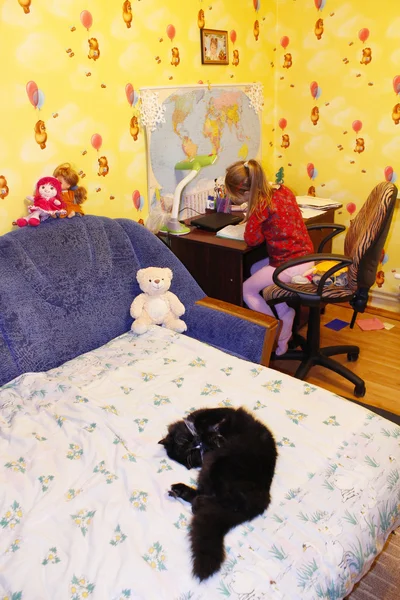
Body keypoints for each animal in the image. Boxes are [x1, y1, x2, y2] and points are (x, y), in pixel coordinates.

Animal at [158, 406, 276, 580]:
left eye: (183, 441)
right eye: (190, 451)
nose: (197, 443)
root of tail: (263, 500)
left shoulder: (217, 414)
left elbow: (205, 421)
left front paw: (209, 433)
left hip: (220, 468)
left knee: (216, 500)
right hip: (216, 470)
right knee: (210, 497)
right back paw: (180, 491)